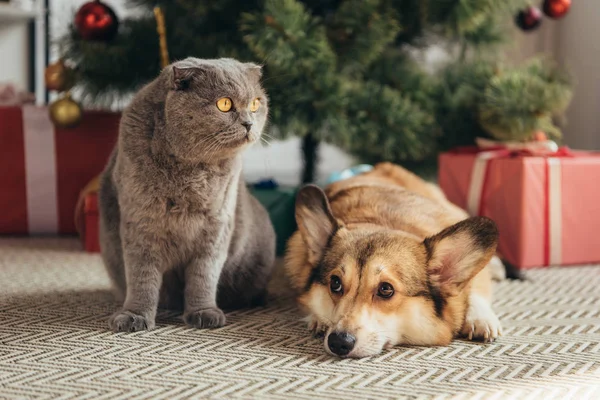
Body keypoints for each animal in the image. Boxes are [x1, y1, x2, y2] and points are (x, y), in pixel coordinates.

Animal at [99, 56, 276, 332]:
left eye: (256, 103)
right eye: (224, 104)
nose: (249, 123)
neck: (193, 173)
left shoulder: (216, 227)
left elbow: (204, 275)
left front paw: (204, 313)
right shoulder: (141, 222)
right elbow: (141, 276)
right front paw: (134, 316)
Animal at [286, 164, 502, 358]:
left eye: (385, 289)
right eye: (335, 283)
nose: (338, 342)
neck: (382, 222)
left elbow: (475, 289)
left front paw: (480, 319)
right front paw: (318, 319)